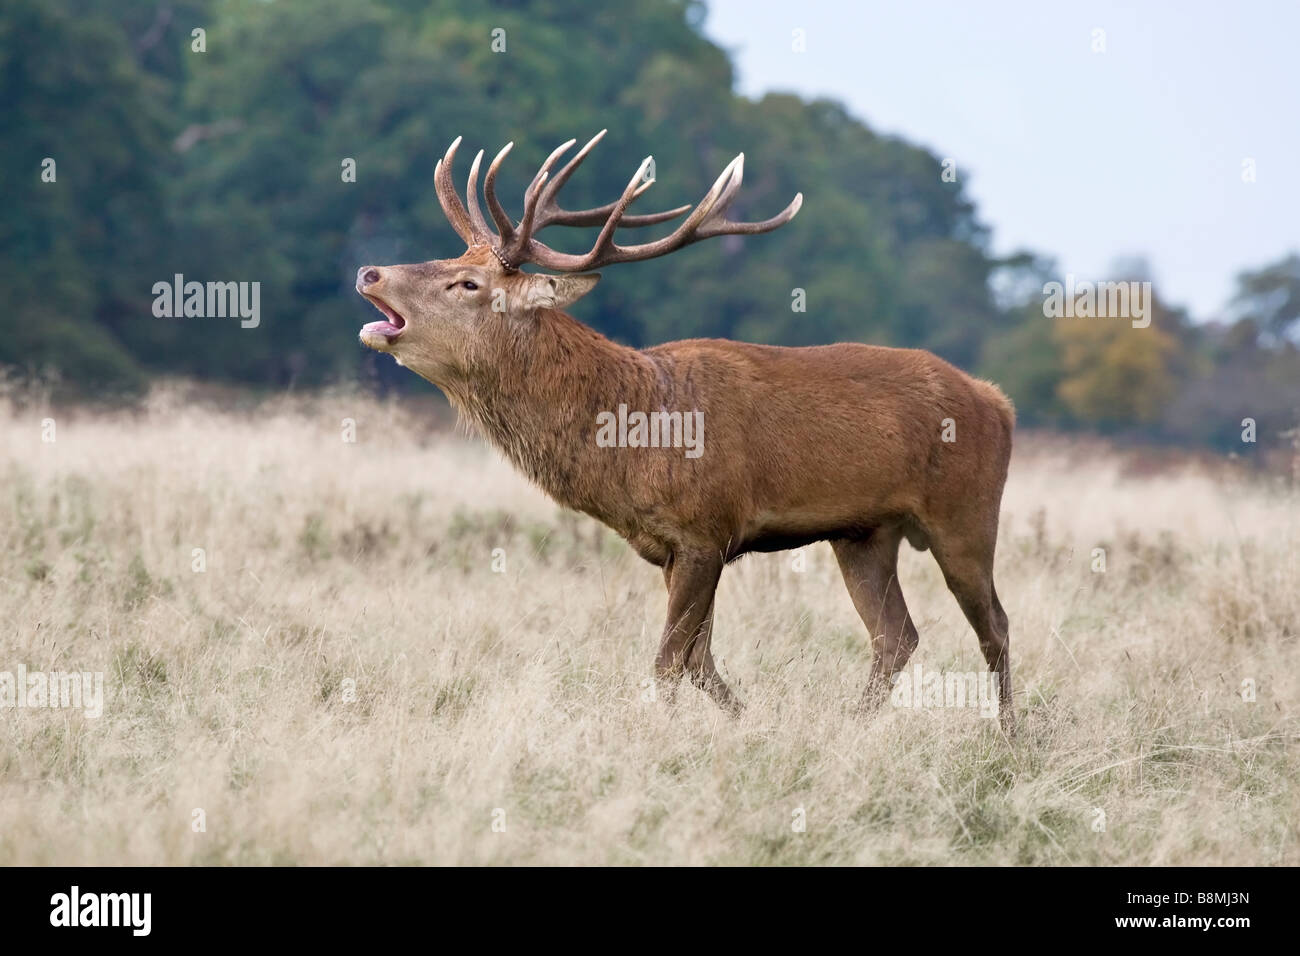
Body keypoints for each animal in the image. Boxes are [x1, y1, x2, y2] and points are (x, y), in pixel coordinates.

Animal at [356, 132, 1017, 731]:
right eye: (451, 259)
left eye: (468, 284)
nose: (369, 271)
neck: (632, 443)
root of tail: (998, 401)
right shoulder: (673, 547)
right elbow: (699, 660)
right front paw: (746, 725)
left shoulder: (707, 528)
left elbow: (669, 660)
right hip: (864, 534)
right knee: (896, 636)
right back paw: (852, 727)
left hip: (966, 511)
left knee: (994, 624)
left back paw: (1009, 734)